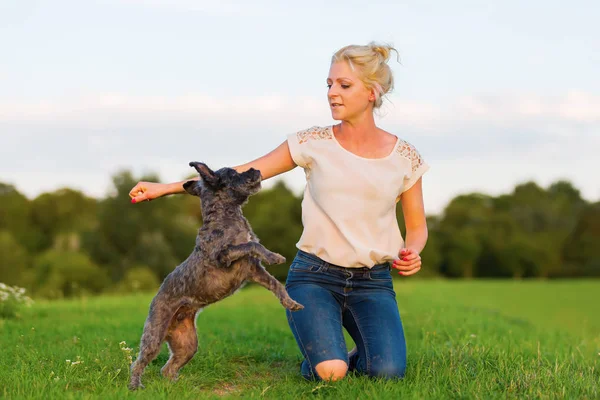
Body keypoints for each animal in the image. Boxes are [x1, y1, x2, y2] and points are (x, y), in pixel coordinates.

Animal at [128, 161, 302, 390]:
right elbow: (252, 244)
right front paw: (275, 257)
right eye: (234, 173)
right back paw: (134, 386)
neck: (227, 216)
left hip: (187, 344)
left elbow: (276, 284)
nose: (255, 169)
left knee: (167, 369)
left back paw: (178, 386)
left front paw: (290, 302)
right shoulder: (224, 256)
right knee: (138, 362)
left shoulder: (253, 270)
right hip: (154, 336)